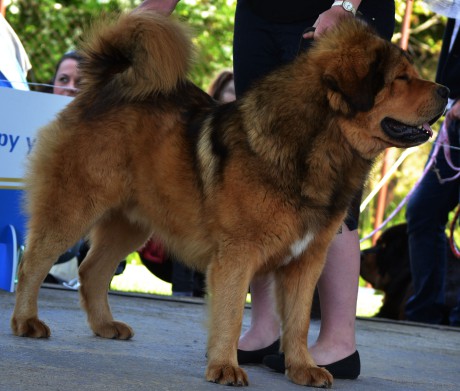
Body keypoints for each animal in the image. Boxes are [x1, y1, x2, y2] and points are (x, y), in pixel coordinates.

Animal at [11, 10, 450, 388]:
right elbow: (233, 313)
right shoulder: (237, 256)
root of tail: (105, 83)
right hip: (73, 206)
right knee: (34, 261)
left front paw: (301, 367)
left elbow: (298, 322)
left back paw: (105, 326)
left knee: (92, 270)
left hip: (130, 223)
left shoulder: (306, 260)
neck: (314, 145)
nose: (447, 89)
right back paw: (25, 322)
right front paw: (224, 365)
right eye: (401, 78)